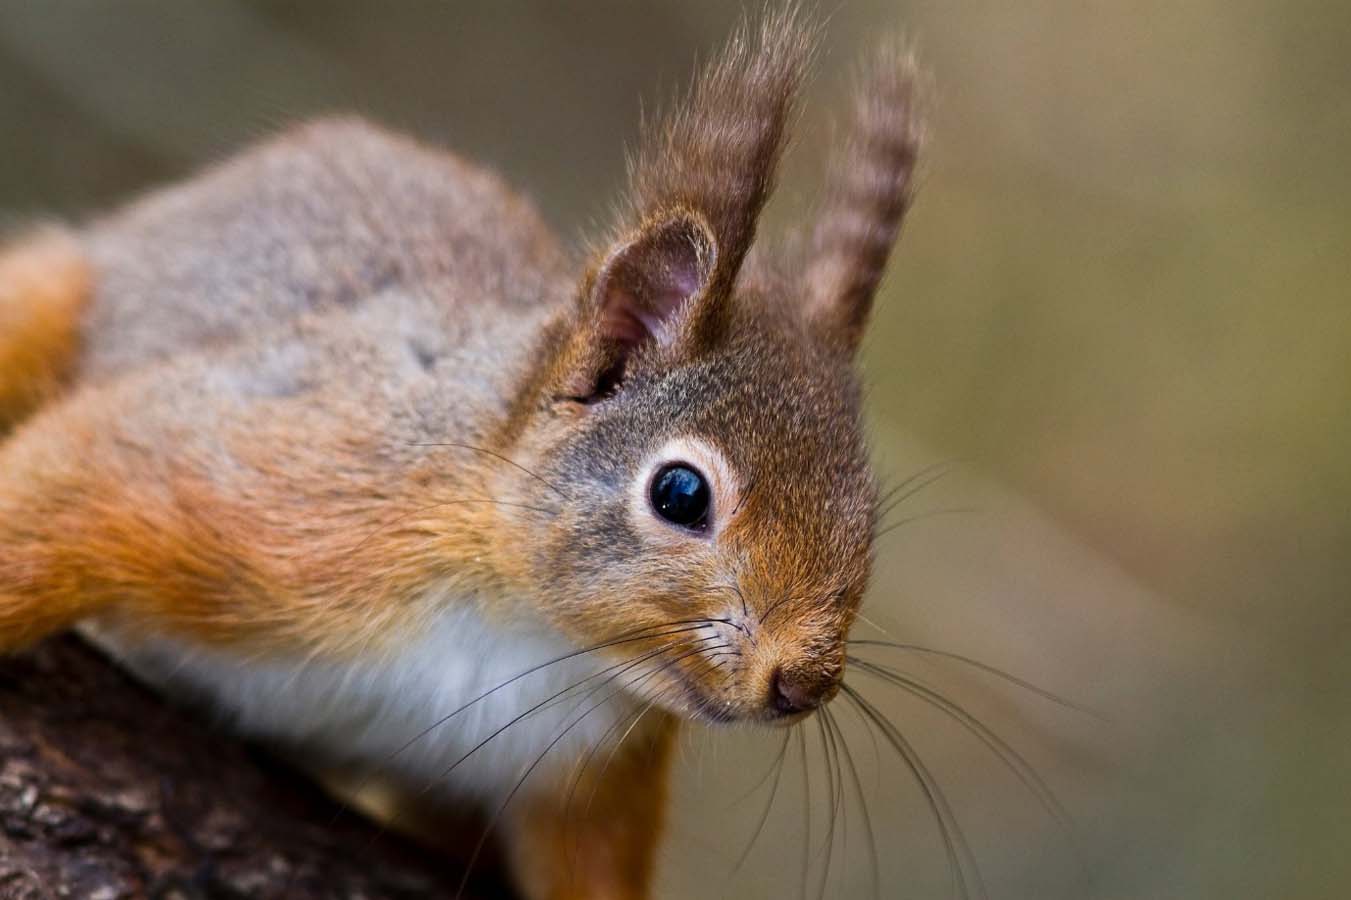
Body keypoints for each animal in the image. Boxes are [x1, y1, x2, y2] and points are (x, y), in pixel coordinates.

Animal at [0, 8, 922, 899]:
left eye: (867, 512)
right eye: (681, 494)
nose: (801, 683)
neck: (523, 626)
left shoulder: (588, 775)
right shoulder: (287, 491)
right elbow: (87, 474)